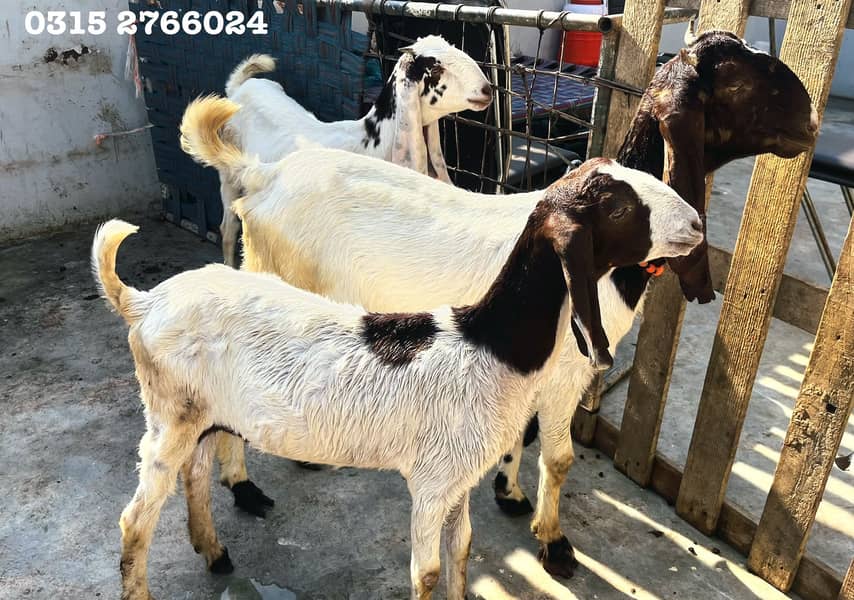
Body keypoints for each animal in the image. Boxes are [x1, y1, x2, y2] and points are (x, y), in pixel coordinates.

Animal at [95, 158, 702, 599]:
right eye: (619, 208)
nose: (697, 224)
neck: (489, 341)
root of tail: (142, 302)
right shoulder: (431, 483)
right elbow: (426, 571)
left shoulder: (459, 480)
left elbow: (462, 552)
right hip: (169, 417)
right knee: (134, 522)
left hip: (202, 415)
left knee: (195, 475)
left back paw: (215, 552)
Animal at [218, 35, 493, 267]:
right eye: (435, 68)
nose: (487, 90)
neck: (371, 141)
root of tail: (239, 88)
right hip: (228, 177)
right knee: (227, 229)